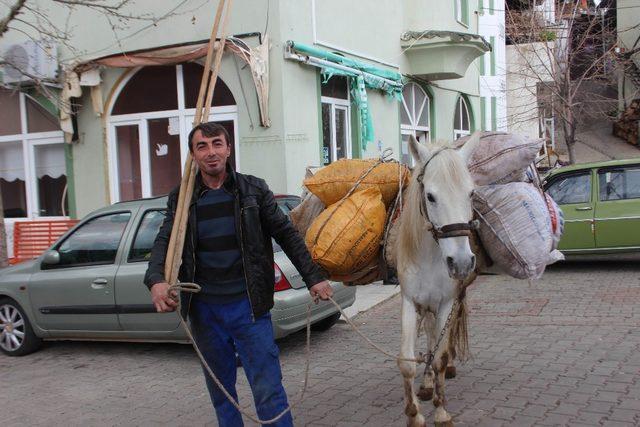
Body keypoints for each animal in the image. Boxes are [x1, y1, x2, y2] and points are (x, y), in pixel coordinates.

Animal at [396, 135, 480, 427]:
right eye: (430, 196)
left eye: (471, 193)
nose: (462, 261)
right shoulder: (410, 302)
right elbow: (408, 360)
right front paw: (414, 414)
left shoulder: (446, 303)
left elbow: (440, 358)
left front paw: (441, 411)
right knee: (431, 336)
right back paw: (426, 384)